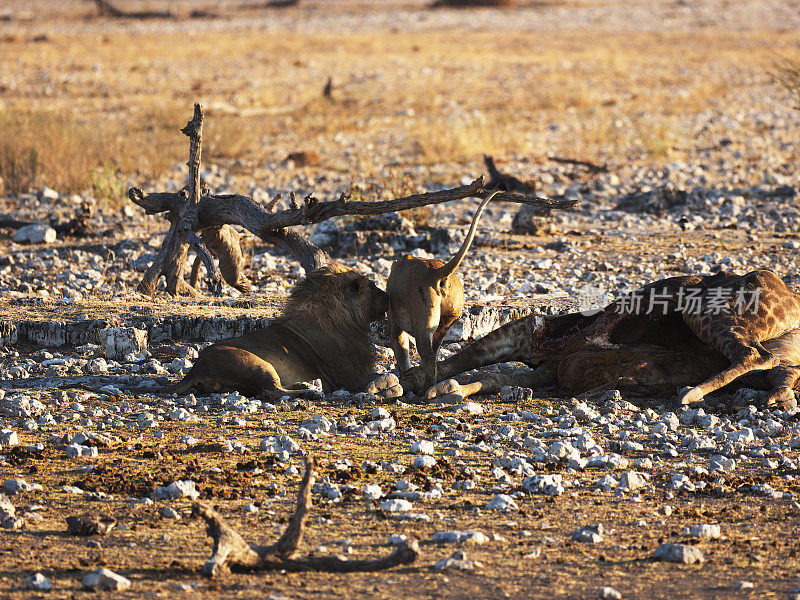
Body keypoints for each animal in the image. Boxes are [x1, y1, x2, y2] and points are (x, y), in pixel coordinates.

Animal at [162, 264, 388, 398]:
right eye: (373, 286)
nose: (387, 295)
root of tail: (196, 367)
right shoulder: (348, 376)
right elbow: (376, 376)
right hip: (258, 364)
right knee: (272, 391)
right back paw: (310, 391)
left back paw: (304, 386)